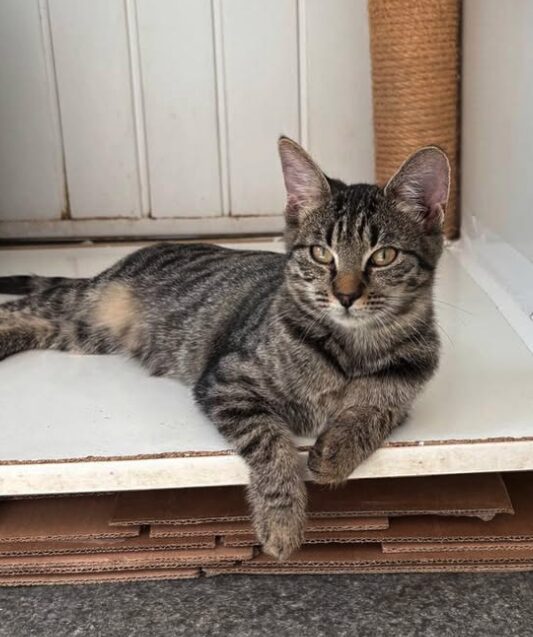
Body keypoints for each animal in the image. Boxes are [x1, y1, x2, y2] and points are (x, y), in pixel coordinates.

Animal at [0, 138, 448, 556]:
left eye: (384, 256)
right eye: (322, 253)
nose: (346, 296)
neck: (353, 348)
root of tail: (127, 258)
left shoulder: (403, 398)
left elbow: (373, 411)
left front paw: (337, 451)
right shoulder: (226, 381)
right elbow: (272, 444)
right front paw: (281, 521)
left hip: (86, 332)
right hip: (88, 305)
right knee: (21, 308)